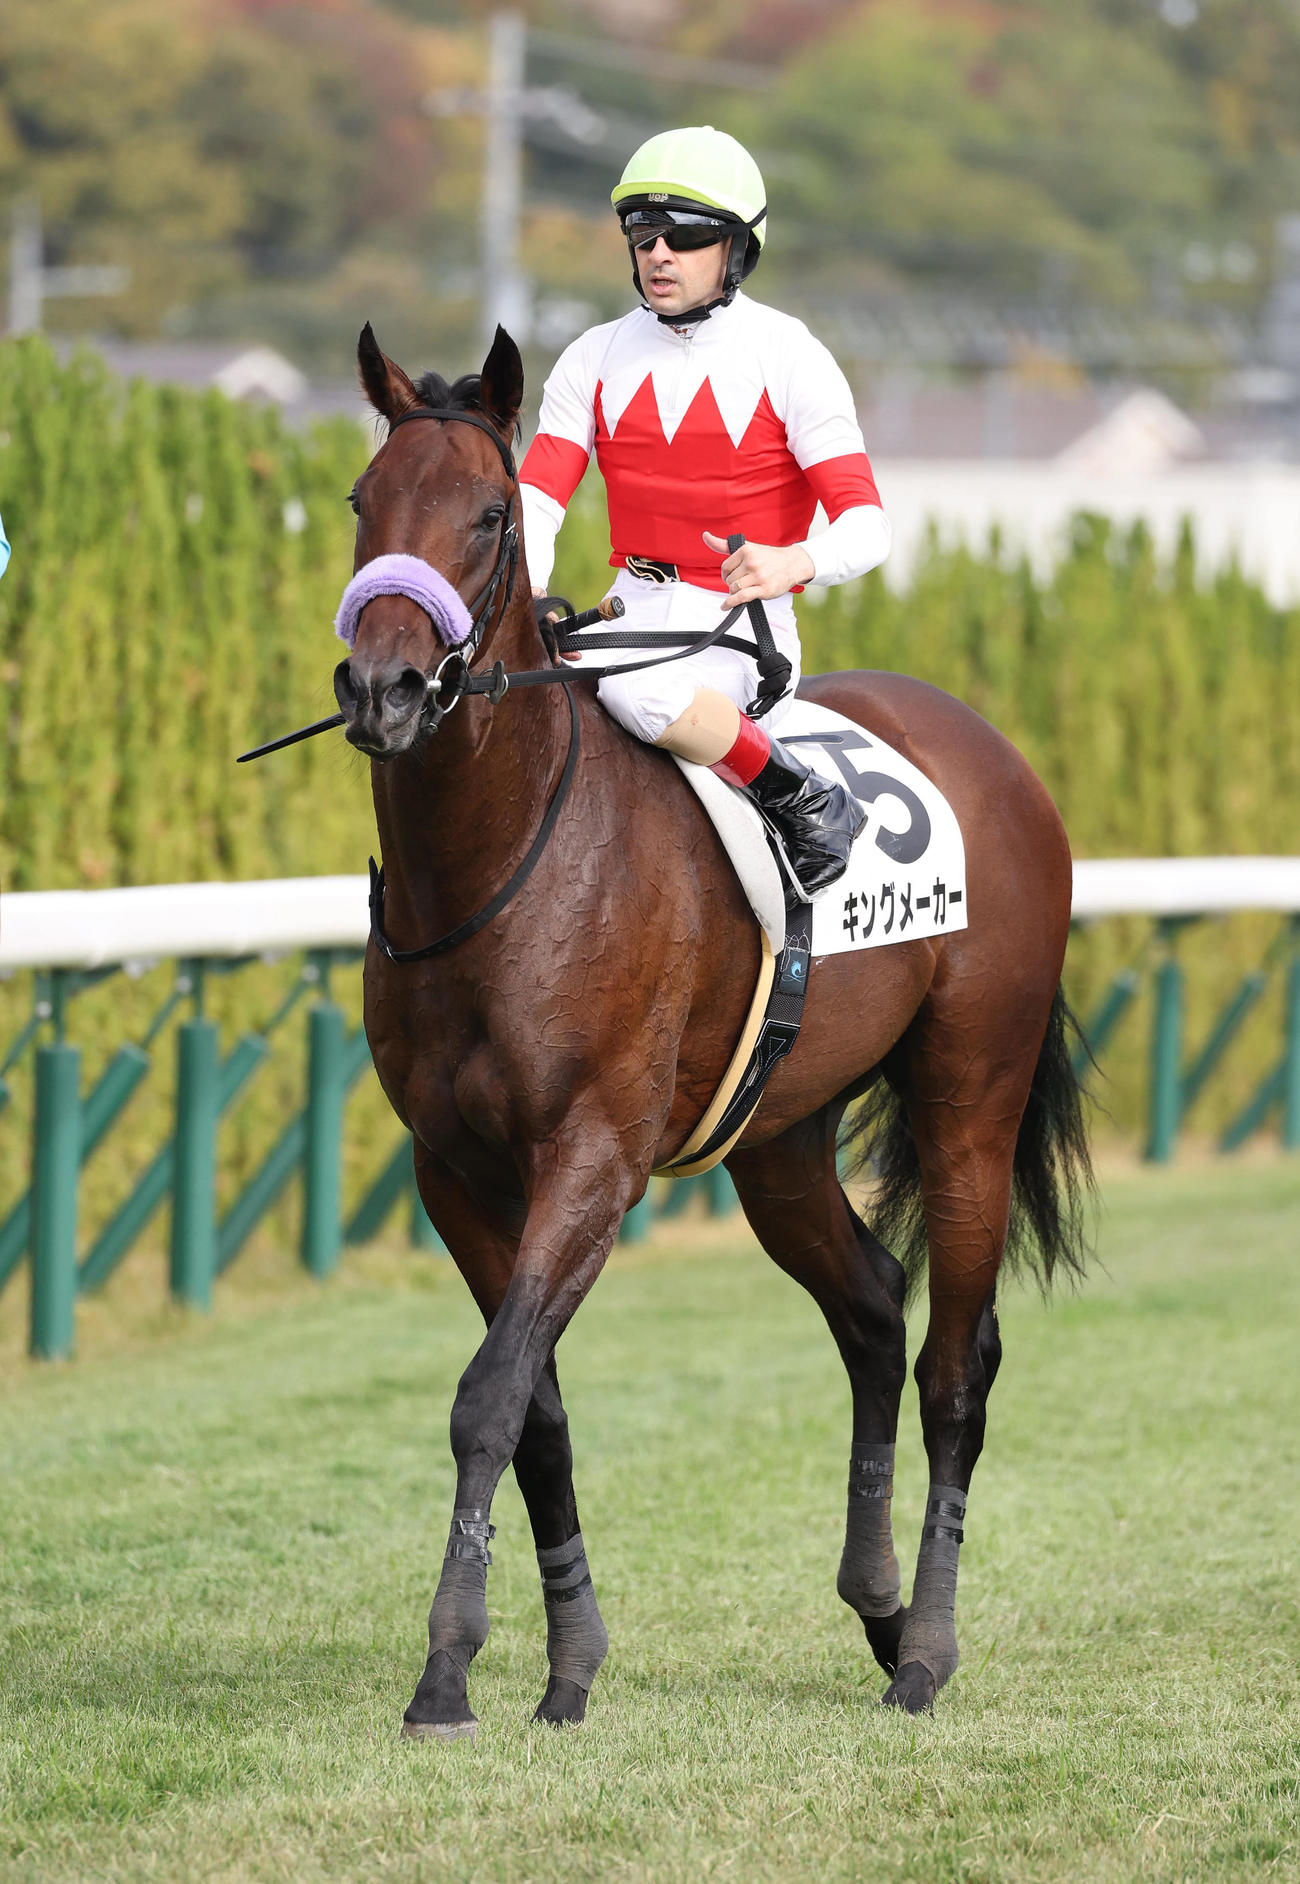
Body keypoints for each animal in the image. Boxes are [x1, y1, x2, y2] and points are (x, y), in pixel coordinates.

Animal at [329, 321, 1091, 1738]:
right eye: (363, 502)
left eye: (485, 518)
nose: (385, 689)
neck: (495, 867)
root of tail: (992, 752)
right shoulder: (455, 1173)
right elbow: (534, 1410)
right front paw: (568, 1661)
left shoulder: (592, 1157)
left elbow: (486, 1398)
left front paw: (447, 1671)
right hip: (776, 1139)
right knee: (872, 1308)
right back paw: (878, 1607)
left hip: (971, 1097)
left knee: (955, 1369)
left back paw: (925, 1652)